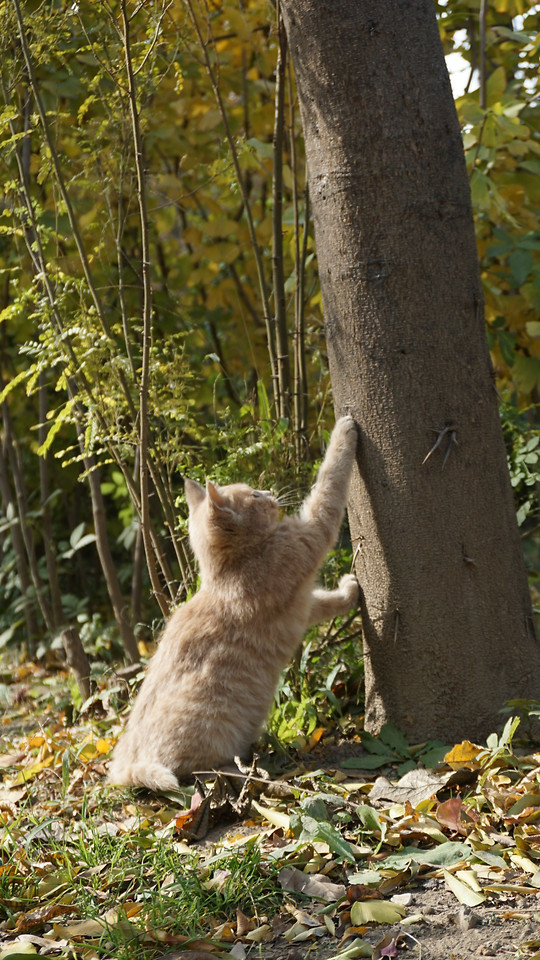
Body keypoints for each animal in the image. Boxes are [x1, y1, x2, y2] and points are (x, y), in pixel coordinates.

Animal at [106, 416, 358, 792]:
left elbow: (326, 603)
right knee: (201, 772)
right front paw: (344, 431)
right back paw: (256, 777)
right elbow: (329, 484)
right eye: (253, 495)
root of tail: (125, 766)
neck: (227, 571)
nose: (269, 493)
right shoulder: (310, 535)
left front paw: (349, 593)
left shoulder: (301, 607)